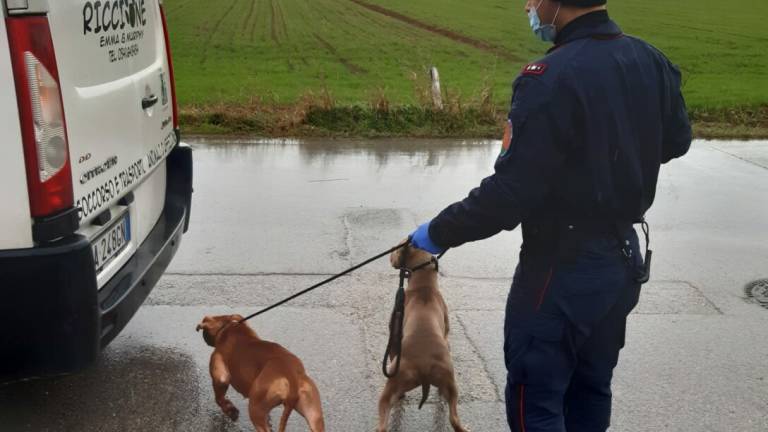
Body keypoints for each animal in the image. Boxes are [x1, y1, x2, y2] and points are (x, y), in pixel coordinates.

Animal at [196, 314, 326, 432]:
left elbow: (219, 398)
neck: (228, 328)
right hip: (314, 416)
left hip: (255, 409)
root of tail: (291, 375)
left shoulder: (221, 377)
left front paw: (230, 410)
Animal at [378, 245, 468, 430]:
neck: (424, 287)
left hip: (391, 385)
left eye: (397, 249)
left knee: (382, 423)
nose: (390, 252)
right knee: (454, 418)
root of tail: (425, 365)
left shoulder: (394, 335)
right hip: (451, 384)